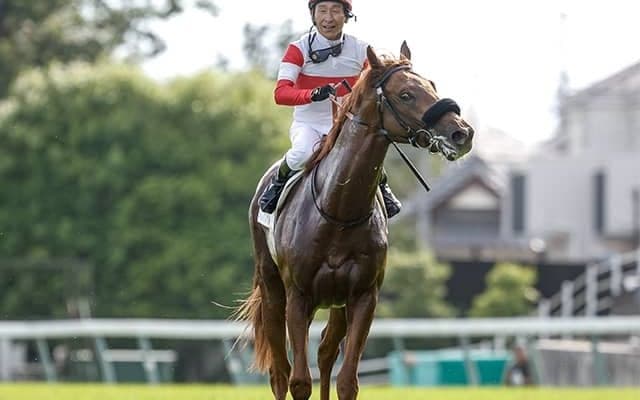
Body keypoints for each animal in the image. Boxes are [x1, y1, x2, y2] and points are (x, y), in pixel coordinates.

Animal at [238, 42, 474, 400]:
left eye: (432, 85)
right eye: (406, 94)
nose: (462, 133)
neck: (338, 211)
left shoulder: (363, 296)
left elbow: (347, 380)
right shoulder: (298, 296)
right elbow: (299, 381)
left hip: (334, 303)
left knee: (325, 352)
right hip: (273, 290)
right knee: (280, 372)